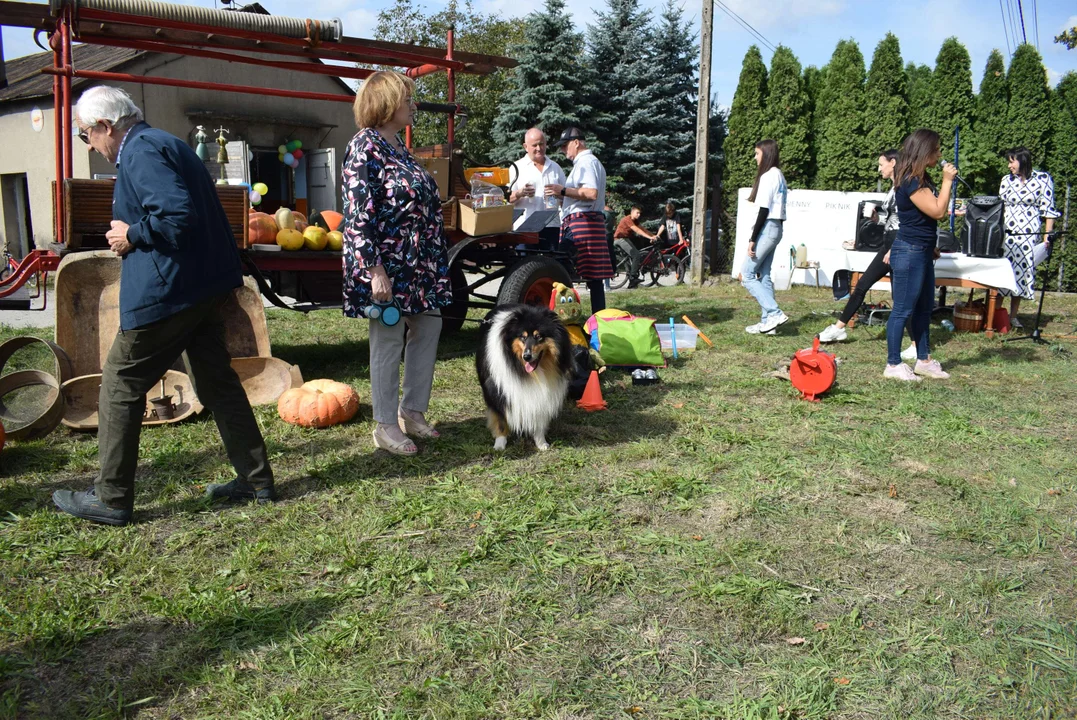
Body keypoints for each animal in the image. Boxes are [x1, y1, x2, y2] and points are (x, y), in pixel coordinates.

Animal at [473, 303, 572, 449]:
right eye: (522, 337)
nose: (527, 356)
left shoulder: (543, 393)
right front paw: (500, 444)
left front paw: (541, 443)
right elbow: (500, 420)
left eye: (538, 336)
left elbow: (538, 416)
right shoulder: (497, 391)